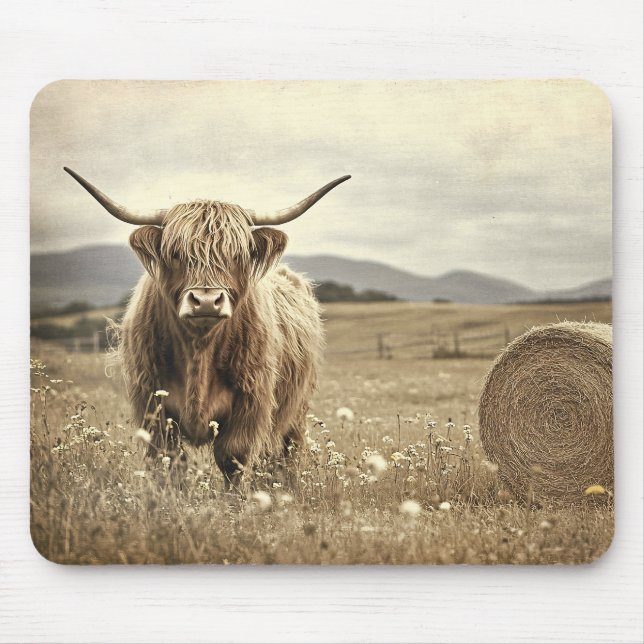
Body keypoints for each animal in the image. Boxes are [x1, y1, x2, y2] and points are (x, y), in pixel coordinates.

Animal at [64, 167, 350, 488]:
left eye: (237, 255)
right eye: (175, 253)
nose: (206, 301)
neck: (198, 350)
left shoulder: (251, 403)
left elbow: (232, 458)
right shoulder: (153, 404)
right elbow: (170, 462)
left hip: (297, 409)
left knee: (286, 449)